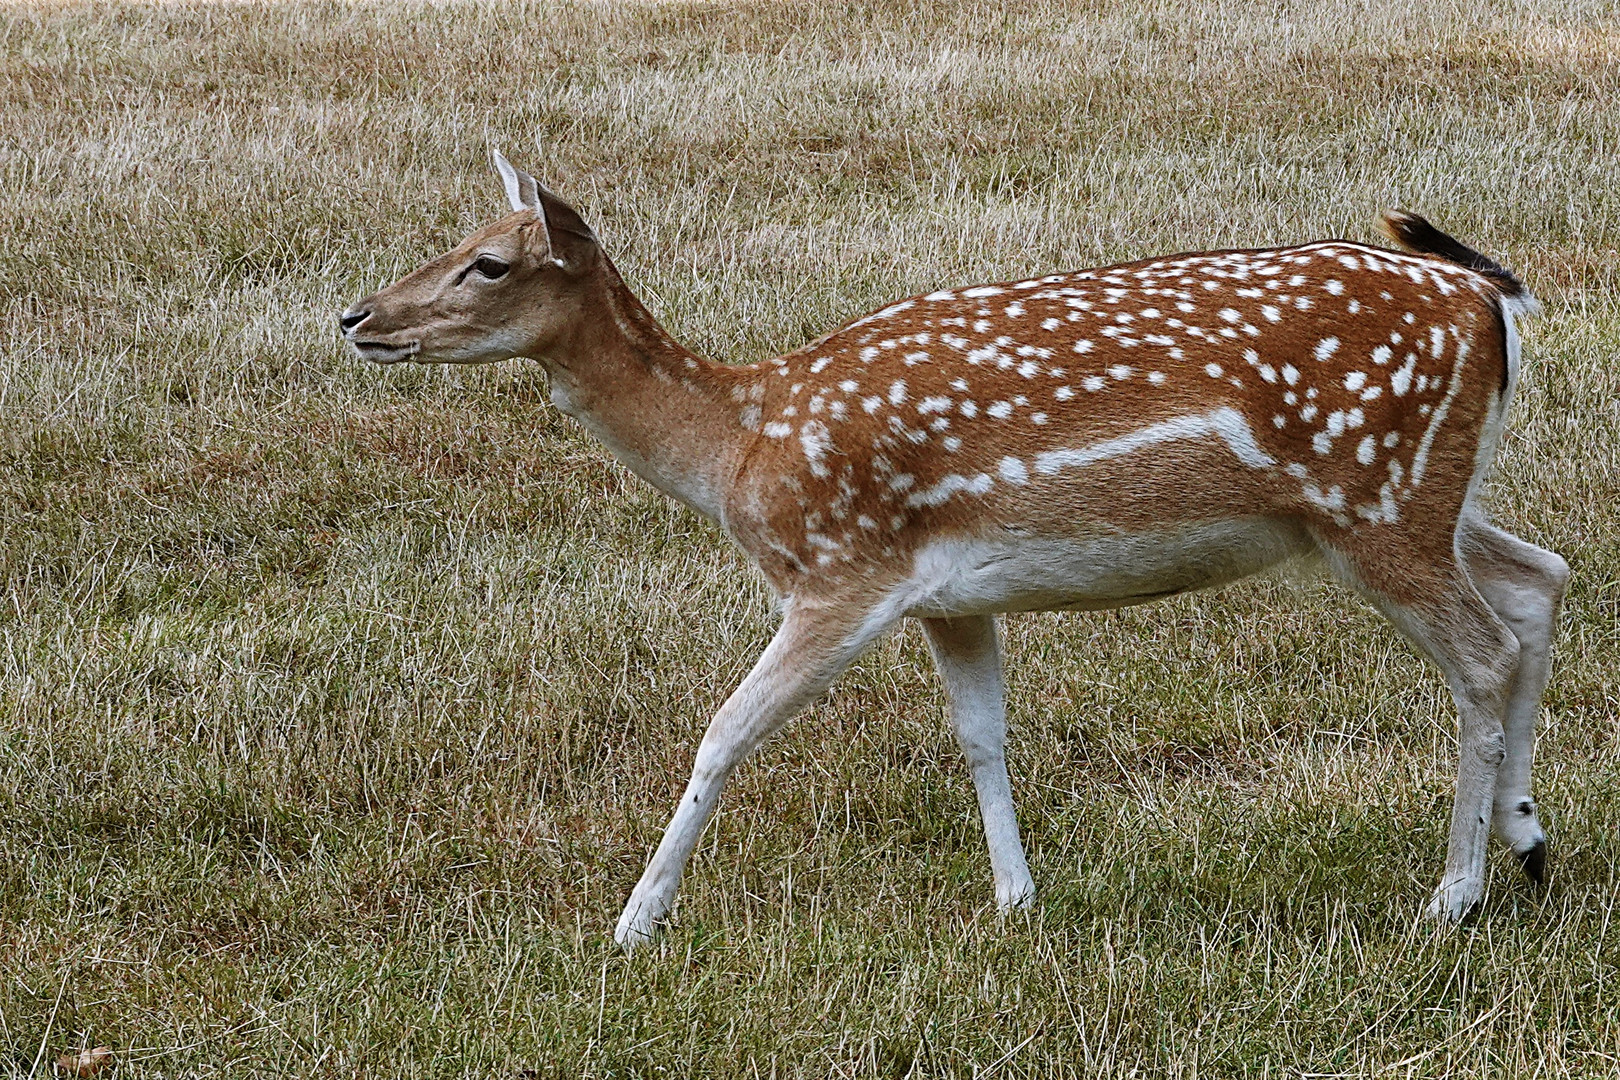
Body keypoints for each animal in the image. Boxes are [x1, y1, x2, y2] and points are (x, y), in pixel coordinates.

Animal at [341, 152, 1568, 945]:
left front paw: (634, 923)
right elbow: (982, 736)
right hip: (1417, 501)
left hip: (1378, 500)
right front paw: (1018, 905)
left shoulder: (840, 575)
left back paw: (1455, 895)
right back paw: (1528, 845)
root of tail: (1488, 299)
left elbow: (724, 733)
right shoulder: (950, 596)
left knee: (1482, 651)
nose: (356, 317)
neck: (742, 443)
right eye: (457, 242)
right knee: (1540, 582)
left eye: (491, 264)